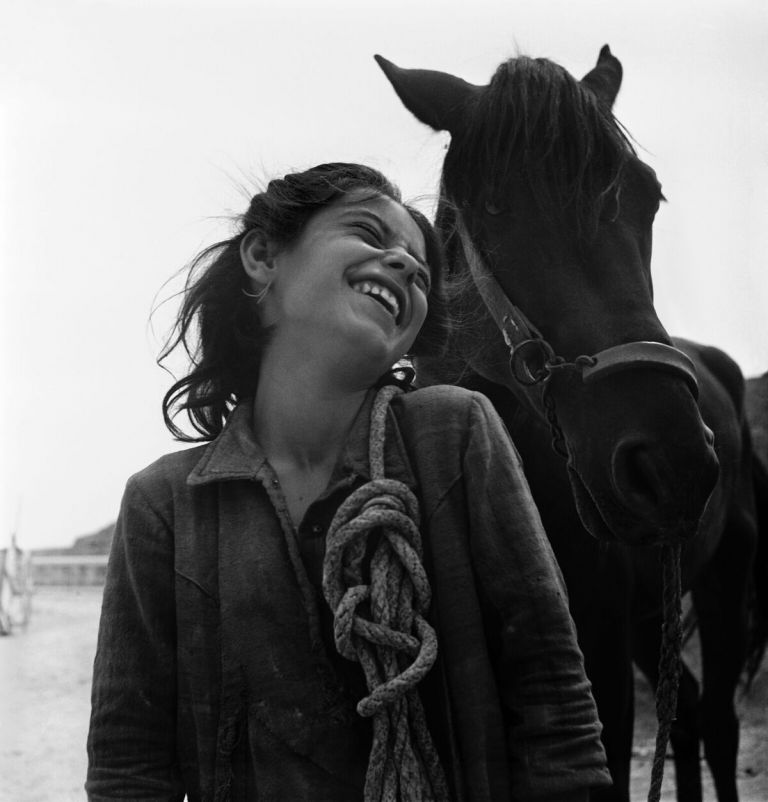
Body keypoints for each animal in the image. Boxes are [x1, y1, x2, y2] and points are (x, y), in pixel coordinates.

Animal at [376, 47, 764, 796]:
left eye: (649, 196)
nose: (670, 464)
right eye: (493, 205)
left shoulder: (601, 654)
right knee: (687, 717)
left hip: (725, 583)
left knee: (718, 724)